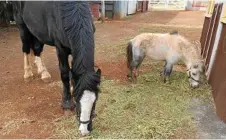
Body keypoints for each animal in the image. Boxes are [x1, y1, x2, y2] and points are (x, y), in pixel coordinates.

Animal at [7, 0, 101, 135]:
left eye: (95, 100)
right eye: (77, 99)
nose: (84, 130)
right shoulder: (60, 48)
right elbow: (65, 74)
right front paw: (67, 104)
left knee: (37, 48)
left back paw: (43, 73)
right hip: (22, 27)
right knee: (25, 48)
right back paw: (28, 74)